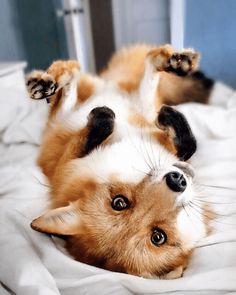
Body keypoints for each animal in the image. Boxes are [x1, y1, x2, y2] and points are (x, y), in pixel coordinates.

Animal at [25, 44, 214, 280]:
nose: (177, 181)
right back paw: (49, 81)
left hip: (137, 103)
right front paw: (101, 121)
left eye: (158, 236)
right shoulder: (63, 166)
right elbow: (83, 138)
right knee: (69, 88)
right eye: (120, 203)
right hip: (65, 122)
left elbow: (189, 146)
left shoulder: (155, 136)